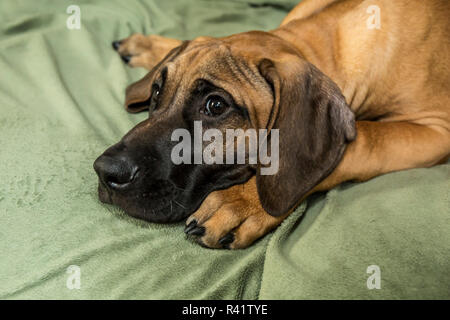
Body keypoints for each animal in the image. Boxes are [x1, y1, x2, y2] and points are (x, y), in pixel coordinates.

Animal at [107, 0, 448, 249]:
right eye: (157, 91)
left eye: (215, 105)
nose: (105, 170)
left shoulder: (437, 129)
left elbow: (363, 139)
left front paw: (239, 203)